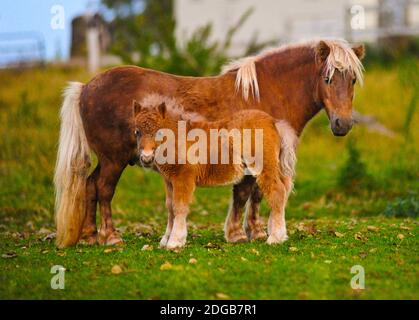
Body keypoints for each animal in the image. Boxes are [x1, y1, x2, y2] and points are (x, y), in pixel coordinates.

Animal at [134, 96, 298, 249]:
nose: (146, 158)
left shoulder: (184, 177)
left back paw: (275, 238)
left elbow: (179, 206)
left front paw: (175, 242)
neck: (178, 138)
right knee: (284, 190)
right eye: (137, 132)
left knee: (277, 192)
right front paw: (165, 240)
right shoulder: (169, 180)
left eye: (159, 132)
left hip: (263, 166)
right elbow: (169, 207)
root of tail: (273, 122)